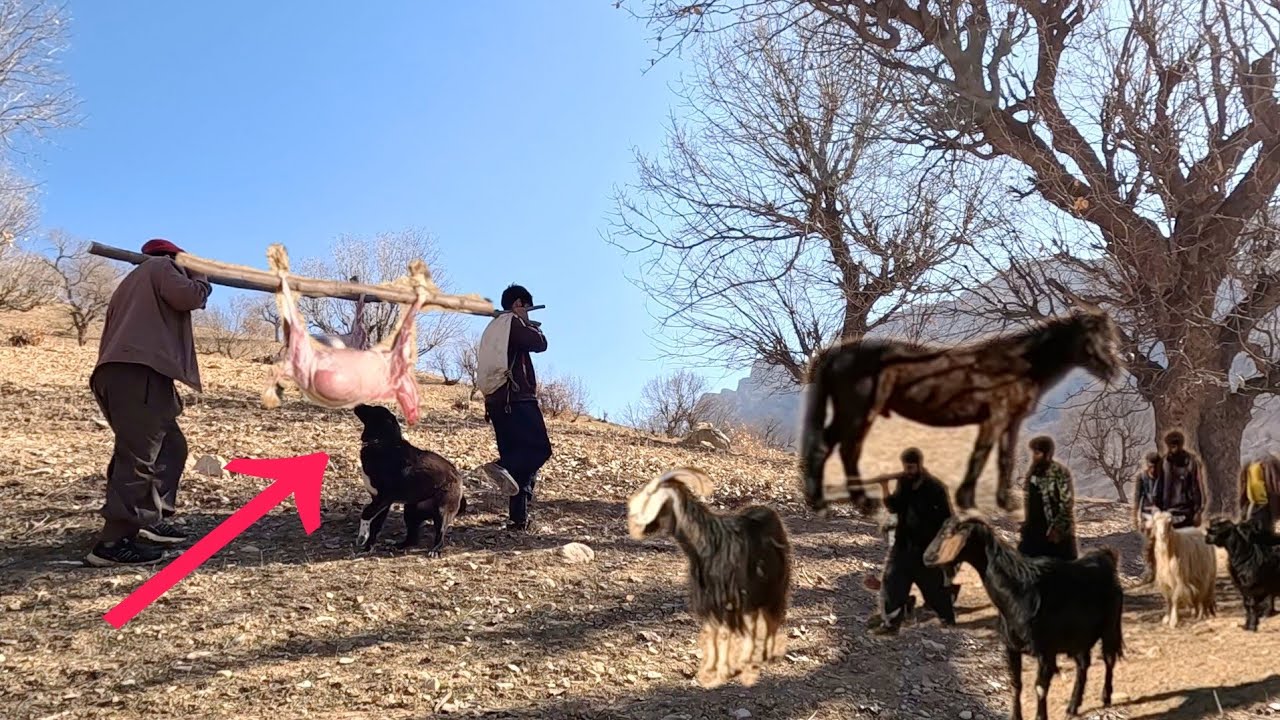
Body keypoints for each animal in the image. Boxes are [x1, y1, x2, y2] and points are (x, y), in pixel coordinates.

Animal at [924, 512, 1123, 720]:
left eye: (948, 532)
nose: (926, 557)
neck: (1016, 591)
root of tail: (1106, 559)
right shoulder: (1011, 646)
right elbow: (1015, 683)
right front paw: (1015, 715)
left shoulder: (1045, 651)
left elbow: (1040, 687)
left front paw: (1040, 717)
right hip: (1078, 637)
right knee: (1083, 664)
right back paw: (1072, 707)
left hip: (1110, 626)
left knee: (1109, 658)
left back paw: (1106, 697)